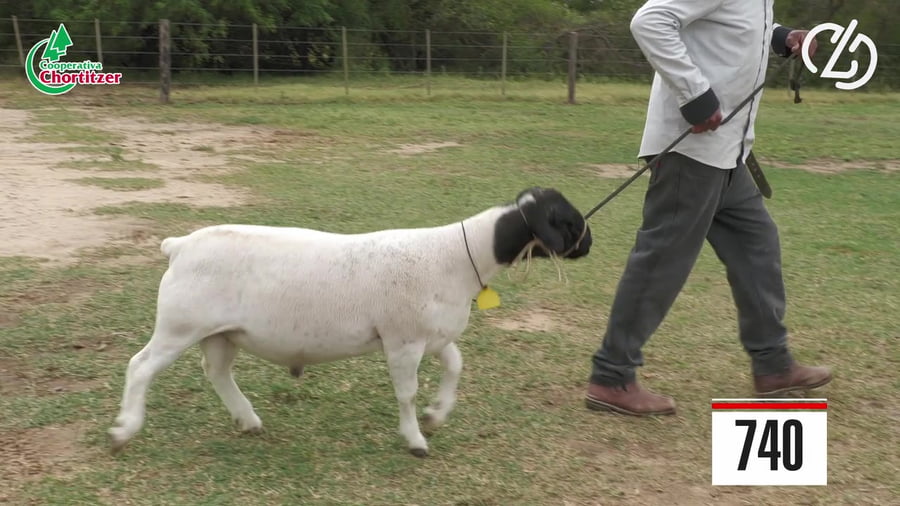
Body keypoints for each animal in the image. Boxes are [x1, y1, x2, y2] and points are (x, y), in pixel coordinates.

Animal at [108, 187, 592, 457]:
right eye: (566, 219)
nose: (589, 244)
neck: (457, 256)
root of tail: (179, 246)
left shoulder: (433, 336)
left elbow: (456, 366)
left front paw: (437, 415)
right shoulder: (402, 340)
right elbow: (406, 394)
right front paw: (416, 439)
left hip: (221, 332)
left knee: (217, 372)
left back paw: (248, 419)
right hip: (179, 324)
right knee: (140, 366)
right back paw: (124, 429)